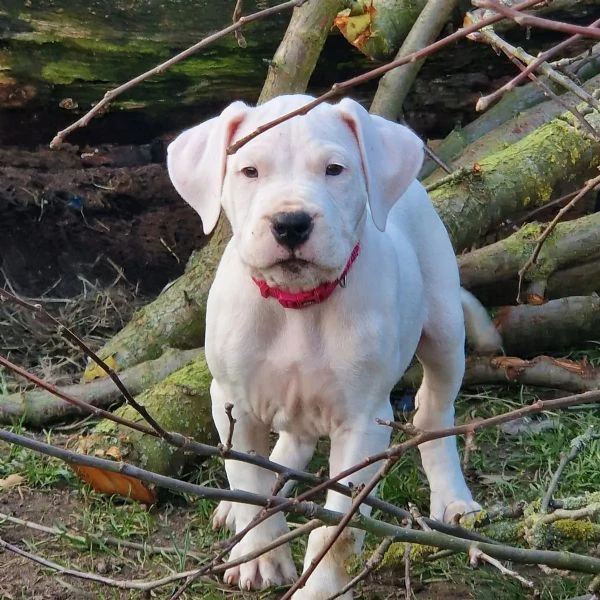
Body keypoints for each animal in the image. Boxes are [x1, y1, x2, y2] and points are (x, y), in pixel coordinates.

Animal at [166, 96, 500, 596]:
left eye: (334, 170)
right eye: (249, 171)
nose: (290, 223)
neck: (298, 305)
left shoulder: (362, 423)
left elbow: (337, 526)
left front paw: (318, 585)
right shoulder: (232, 402)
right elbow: (248, 479)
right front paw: (259, 557)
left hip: (442, 330)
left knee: (433, 415)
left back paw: (452, 501)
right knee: (287, 449)